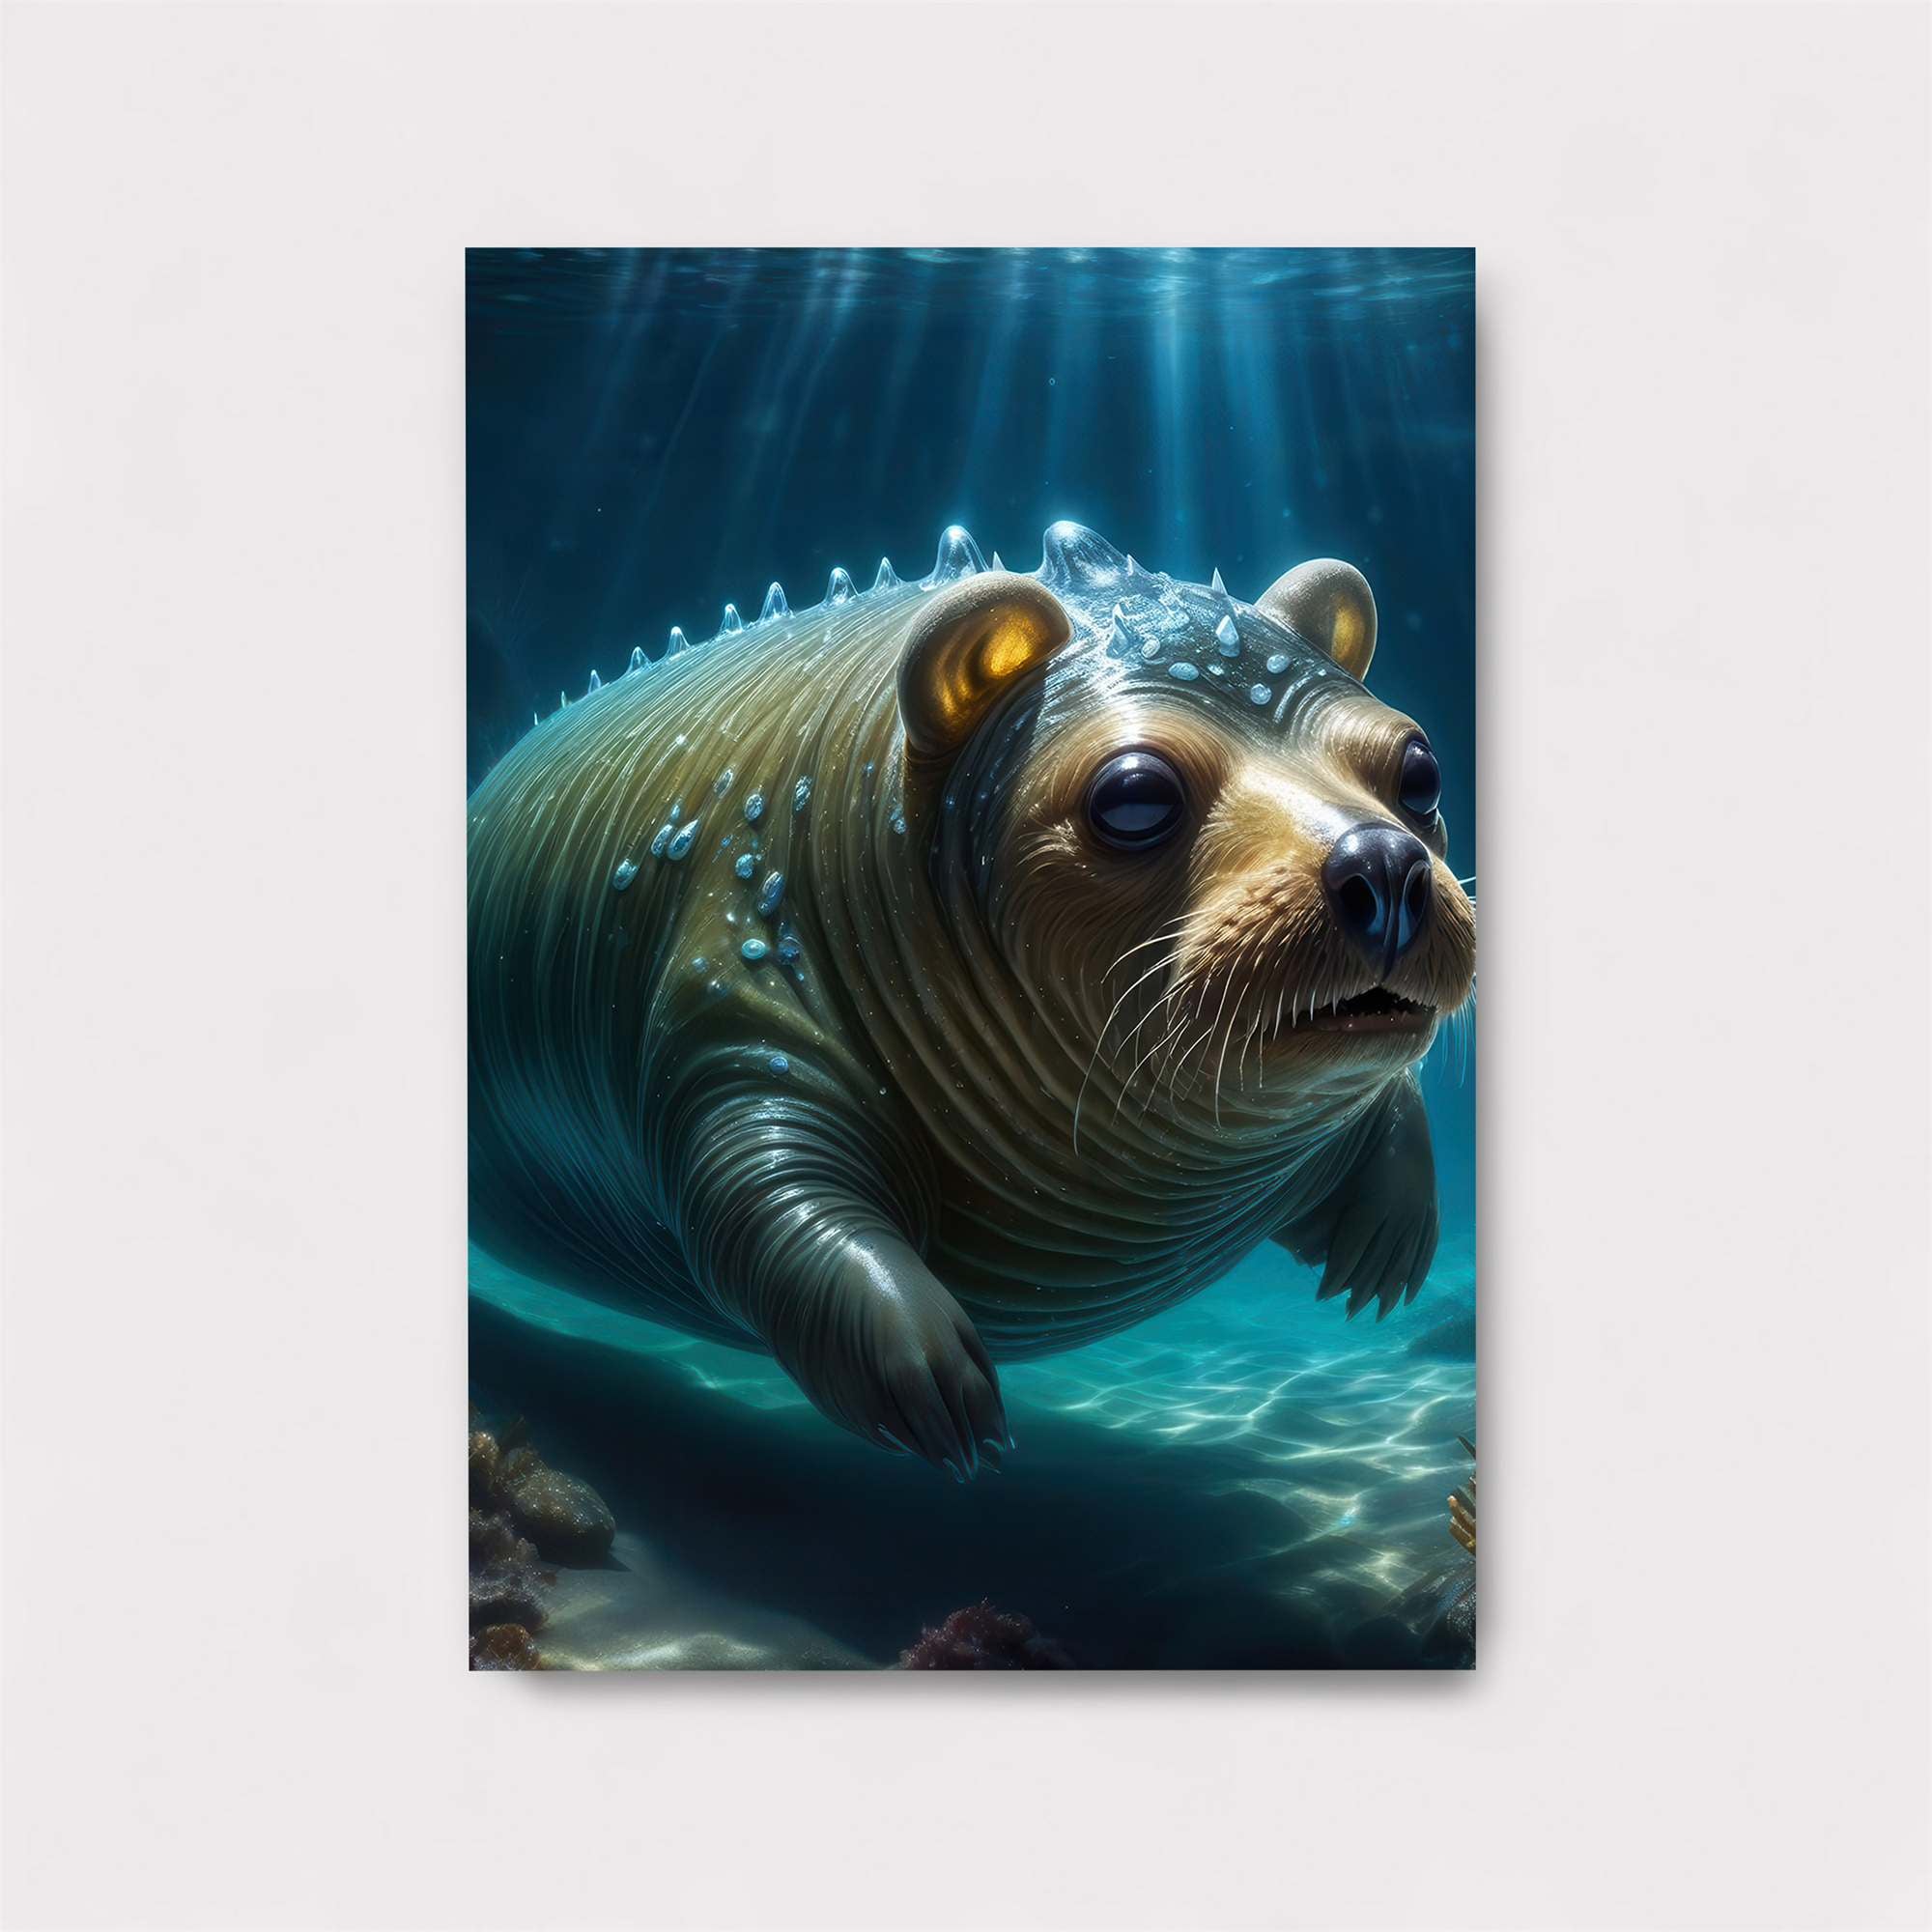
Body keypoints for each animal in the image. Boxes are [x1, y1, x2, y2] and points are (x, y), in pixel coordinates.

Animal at [469, 522, 1475, 1480]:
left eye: (1420, 771)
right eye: (1134, 797)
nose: (1384, 862)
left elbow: (1392, 1101)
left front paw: (1380, 1257)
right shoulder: (733, 996)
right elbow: (765, 1205)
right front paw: (938, 1385)